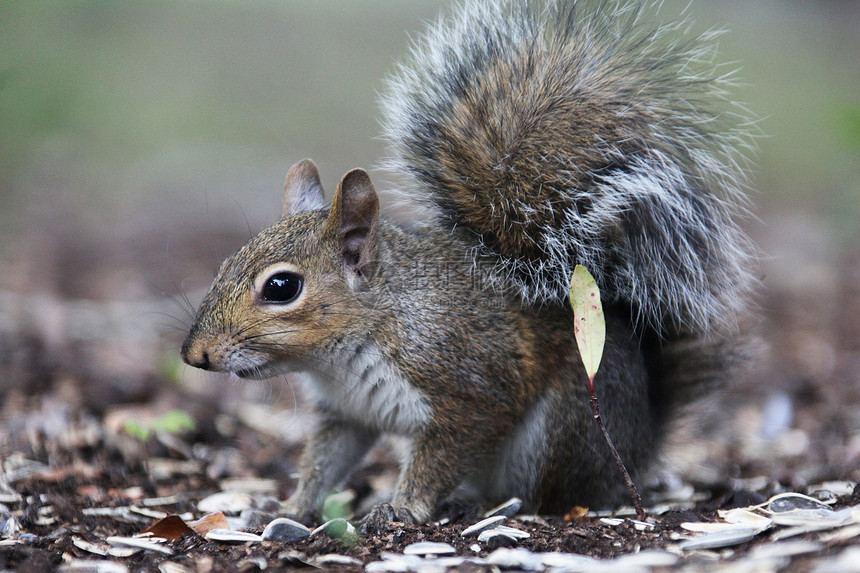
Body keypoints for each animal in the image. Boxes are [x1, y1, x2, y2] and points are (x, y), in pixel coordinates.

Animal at [180, 0, 752, 524]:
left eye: (281, 288)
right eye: (224, 265)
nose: (195, 355)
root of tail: (641, 443)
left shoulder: (467, 388)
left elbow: (442, 454)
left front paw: (402, 507)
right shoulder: (347, 414)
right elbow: (323, 462)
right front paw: (289, 508)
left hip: (563, 427)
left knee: (551, 497)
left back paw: (491, 505)